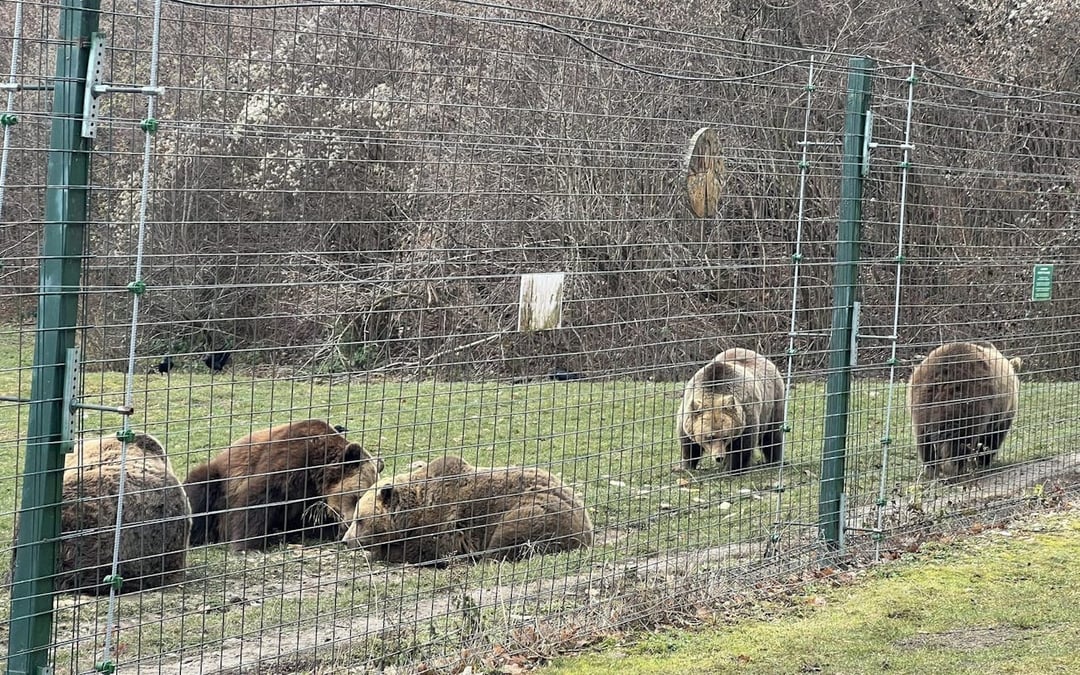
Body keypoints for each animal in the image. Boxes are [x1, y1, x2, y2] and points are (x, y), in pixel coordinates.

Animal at [183, 419, 383, 551]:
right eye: (357, 497)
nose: (349, 523)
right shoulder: (289, 459)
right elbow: (259, 498)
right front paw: (246, 544)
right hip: (221, 478)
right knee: (201, 489)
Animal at [341, 456, 593, 565]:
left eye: (359, 520)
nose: (345, 540)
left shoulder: (441, 525)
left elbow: (422, 550)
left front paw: (377, 553)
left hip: (536, 509)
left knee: (510, 534)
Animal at [907, 341, 1021, 479]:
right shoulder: (1002, 413)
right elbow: (993, 438)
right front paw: (983, 460)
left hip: (922, 399)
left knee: (924, 440)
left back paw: (931, 469)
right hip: (970, 399)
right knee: (961, 438)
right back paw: (956, 469)